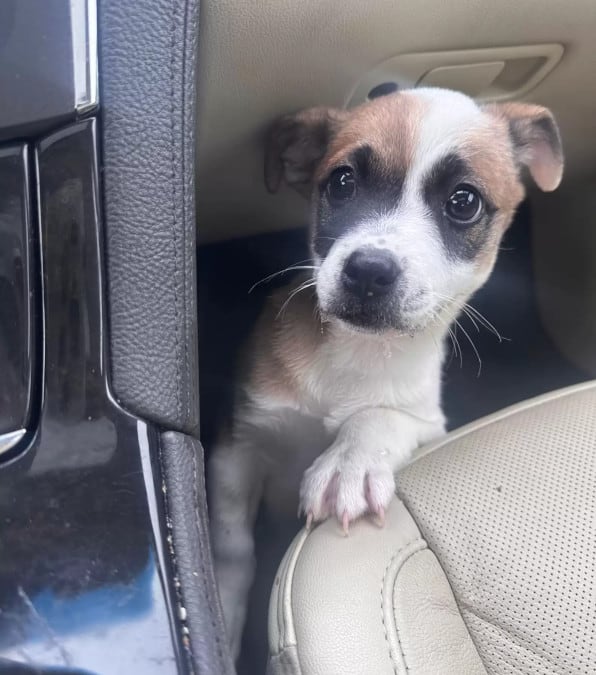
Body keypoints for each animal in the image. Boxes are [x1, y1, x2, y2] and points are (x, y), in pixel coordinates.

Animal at [208, 86, 564, 660]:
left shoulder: (428, 421)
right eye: (342, 181)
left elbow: (378, 418)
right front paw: (221, 598)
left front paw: (350, 463)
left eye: (463, 201)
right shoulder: (237, 442)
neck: (359, 353)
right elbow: (231, 545)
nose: (368, 272)